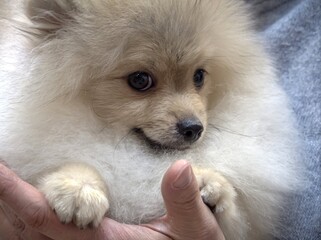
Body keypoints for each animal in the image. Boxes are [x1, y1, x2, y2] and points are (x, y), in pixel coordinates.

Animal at [0, 0, 302, 239]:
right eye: (140, 80)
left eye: (199, 76)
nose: (193, 128)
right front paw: (79, 187)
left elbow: (236, 220)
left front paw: (211, 184)